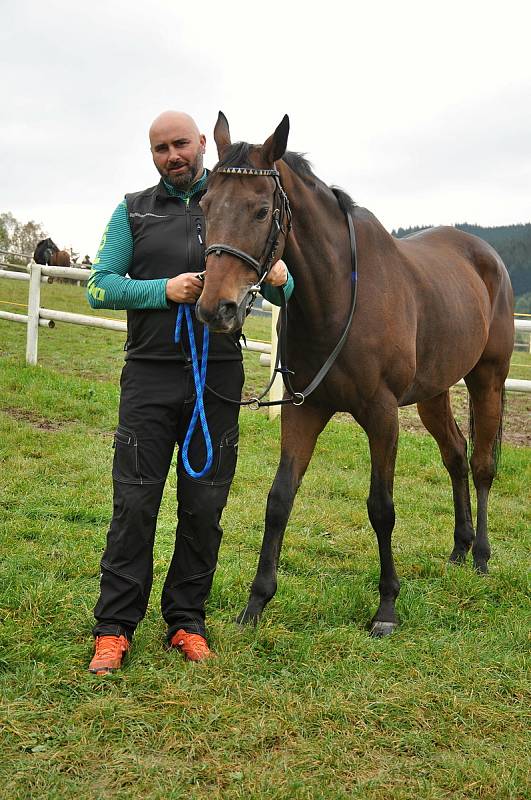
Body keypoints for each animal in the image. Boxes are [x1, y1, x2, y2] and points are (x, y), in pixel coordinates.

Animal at [196, 112, 516, 636]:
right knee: (456, 453)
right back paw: (459, 547)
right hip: (433, 393)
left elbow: (381, 508)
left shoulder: (382, 416)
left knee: (484, 463)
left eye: (261, 211)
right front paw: (256, 603)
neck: (337, 296)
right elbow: (279, 499)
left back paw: (483, 556)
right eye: (204, 205)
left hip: (488, 378)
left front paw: (386, 607)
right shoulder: (304, 410)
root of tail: (486, 257)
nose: (215, 309)